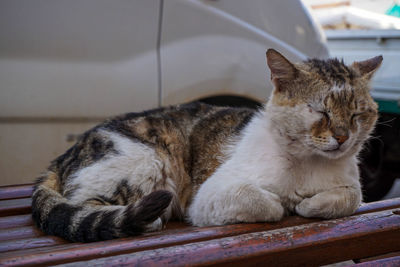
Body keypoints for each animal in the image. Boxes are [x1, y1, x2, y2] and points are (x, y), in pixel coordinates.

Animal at [31, 48, 382, 243]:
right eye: (321, 112)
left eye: (357, 114)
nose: (342, 137)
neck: (307, 163)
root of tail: (66, 154)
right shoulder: (209, 196)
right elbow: (264, 203)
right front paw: (285, 204)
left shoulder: (352, 187)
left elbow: (350, 198)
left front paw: (310, 205)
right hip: (148, 162)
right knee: (84, 203)